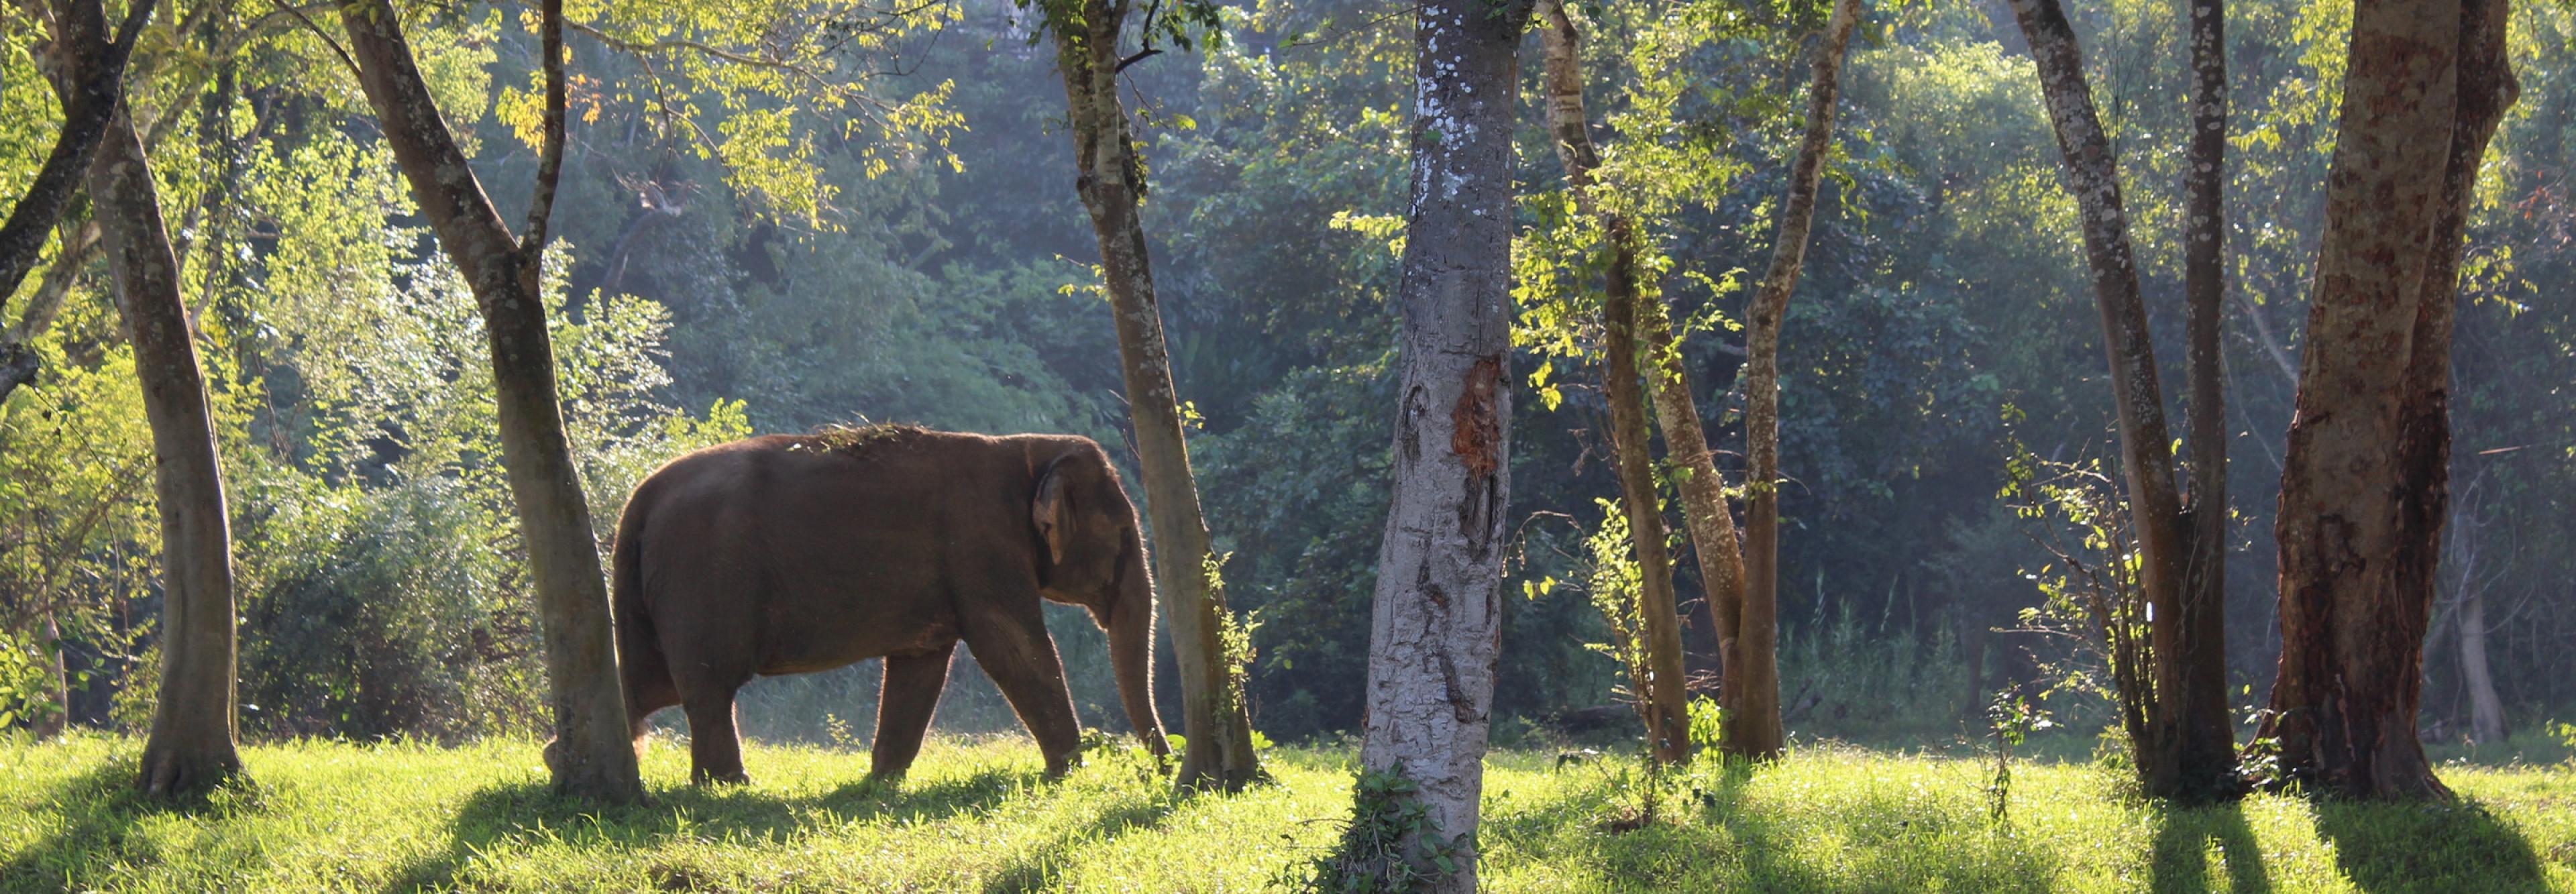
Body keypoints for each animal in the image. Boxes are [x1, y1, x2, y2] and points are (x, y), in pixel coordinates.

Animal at [610, 425, 1172, 784]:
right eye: (1125, 534)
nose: (1162, 770)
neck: (1028, 449)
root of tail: (639, 499)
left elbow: (920, 666)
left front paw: (881, 779)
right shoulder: (982, 543)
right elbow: (1013, 648)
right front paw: (1072, 771)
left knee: (647, 686)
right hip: (700, 580)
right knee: (710, 686)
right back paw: (730, 784)